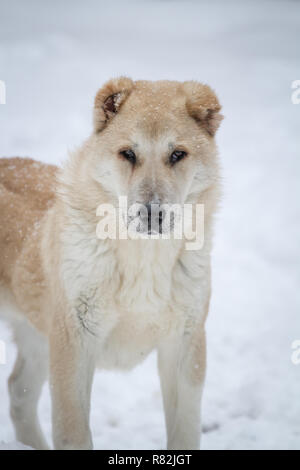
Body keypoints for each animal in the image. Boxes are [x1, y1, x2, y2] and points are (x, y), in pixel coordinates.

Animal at [0, 78, 223, 452]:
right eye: (128, 154)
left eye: (177, 154)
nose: (152, 212)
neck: (143, 262)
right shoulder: (74, 345)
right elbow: (73, 433)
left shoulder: (184, 345)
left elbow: (184, 432)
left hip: (37, 337)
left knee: (19, 391)